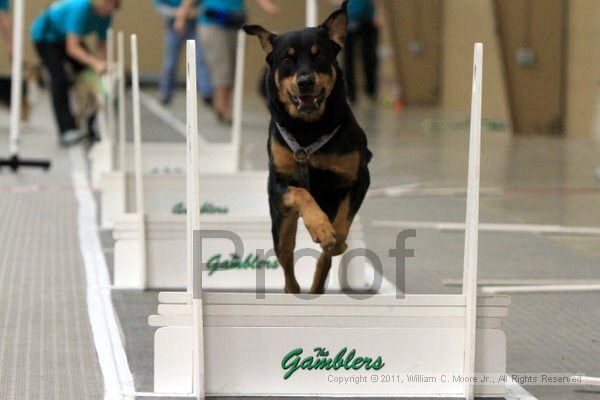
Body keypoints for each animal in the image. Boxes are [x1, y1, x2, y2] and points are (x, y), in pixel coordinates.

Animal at [244, 1, 370, 296]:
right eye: (287, 60)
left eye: (320, 55)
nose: (305, 82)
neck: (309, 127)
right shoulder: (280, 184)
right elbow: (302, 193)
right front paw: (319, 226)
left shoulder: (359, 178)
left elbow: (343, 223)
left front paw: (334, 238)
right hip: (280, 222)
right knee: (286, 260)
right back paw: (294, 290)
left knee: (324, 261)